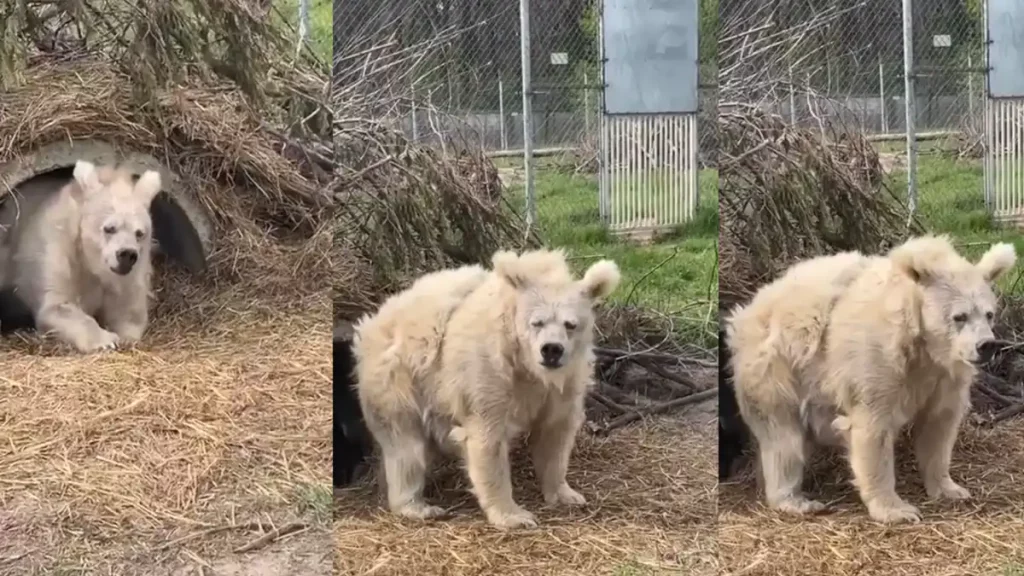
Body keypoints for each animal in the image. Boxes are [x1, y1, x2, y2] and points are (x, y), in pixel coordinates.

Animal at [0, 158, 159, 352]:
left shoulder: (129, 274)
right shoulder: (59, 254)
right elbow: (57, 306)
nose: (127, 254)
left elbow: (128, 309)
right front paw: (106, 339)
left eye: (139, 233)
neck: (90, 262)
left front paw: (125, 337)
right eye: (109, 228)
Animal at [352, 249, 622, 528]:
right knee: (406, 446)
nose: (551, 350)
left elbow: (555, 433)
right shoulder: (488, 373)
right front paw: (515, 516)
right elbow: (487, 439)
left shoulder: (564, 383)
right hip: (399, 379)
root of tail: (372, 321)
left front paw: (566, 494)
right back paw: (419, 507)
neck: (526, 367)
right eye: (537, 322)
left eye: (570, 324)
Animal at [729, 235, 1015, 522]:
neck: (921, 345)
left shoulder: (944, 376)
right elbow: (873, 429)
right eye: (960, 316)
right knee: (782, 437)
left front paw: (950, 489)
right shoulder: (877, 362)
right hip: (777, 368)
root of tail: (746, 312)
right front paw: (897, 510)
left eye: (989, 313)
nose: (986, 345)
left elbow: (939, 426)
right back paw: (795, 500)